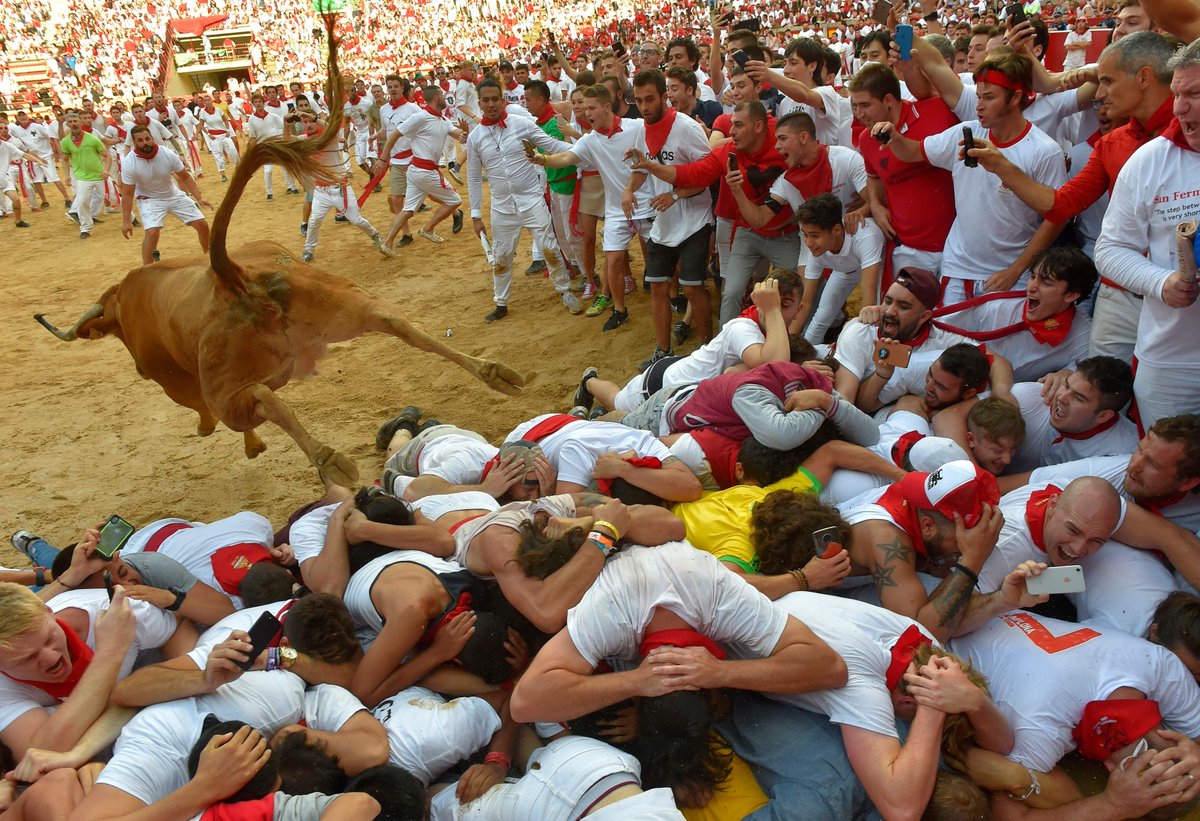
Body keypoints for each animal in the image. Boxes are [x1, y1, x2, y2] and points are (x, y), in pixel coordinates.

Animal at [31, 19, 520, 484]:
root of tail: (229, 276)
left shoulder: (172, 380)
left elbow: (203, 411)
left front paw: (239, 442)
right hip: (342, 305)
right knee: (395, 322)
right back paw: (497, 373)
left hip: (230, 388)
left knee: (256, 400)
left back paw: (329, 461)